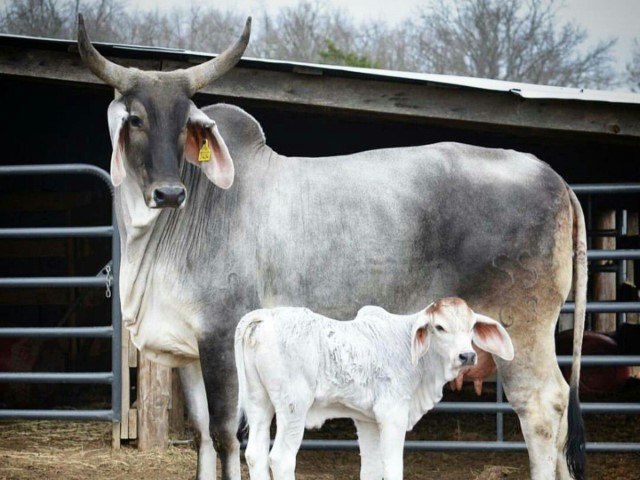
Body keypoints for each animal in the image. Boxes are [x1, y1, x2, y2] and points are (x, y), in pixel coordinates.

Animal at [235, 298, 515, 480]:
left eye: (472, 327)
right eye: (439, 327)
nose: (467, 356)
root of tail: (265, 316)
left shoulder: (366, 419)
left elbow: (370, 468)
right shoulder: (393, 414)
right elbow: (391, 467)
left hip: (259, 402)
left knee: (255, 454)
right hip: (293, 406)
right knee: (281, 458)